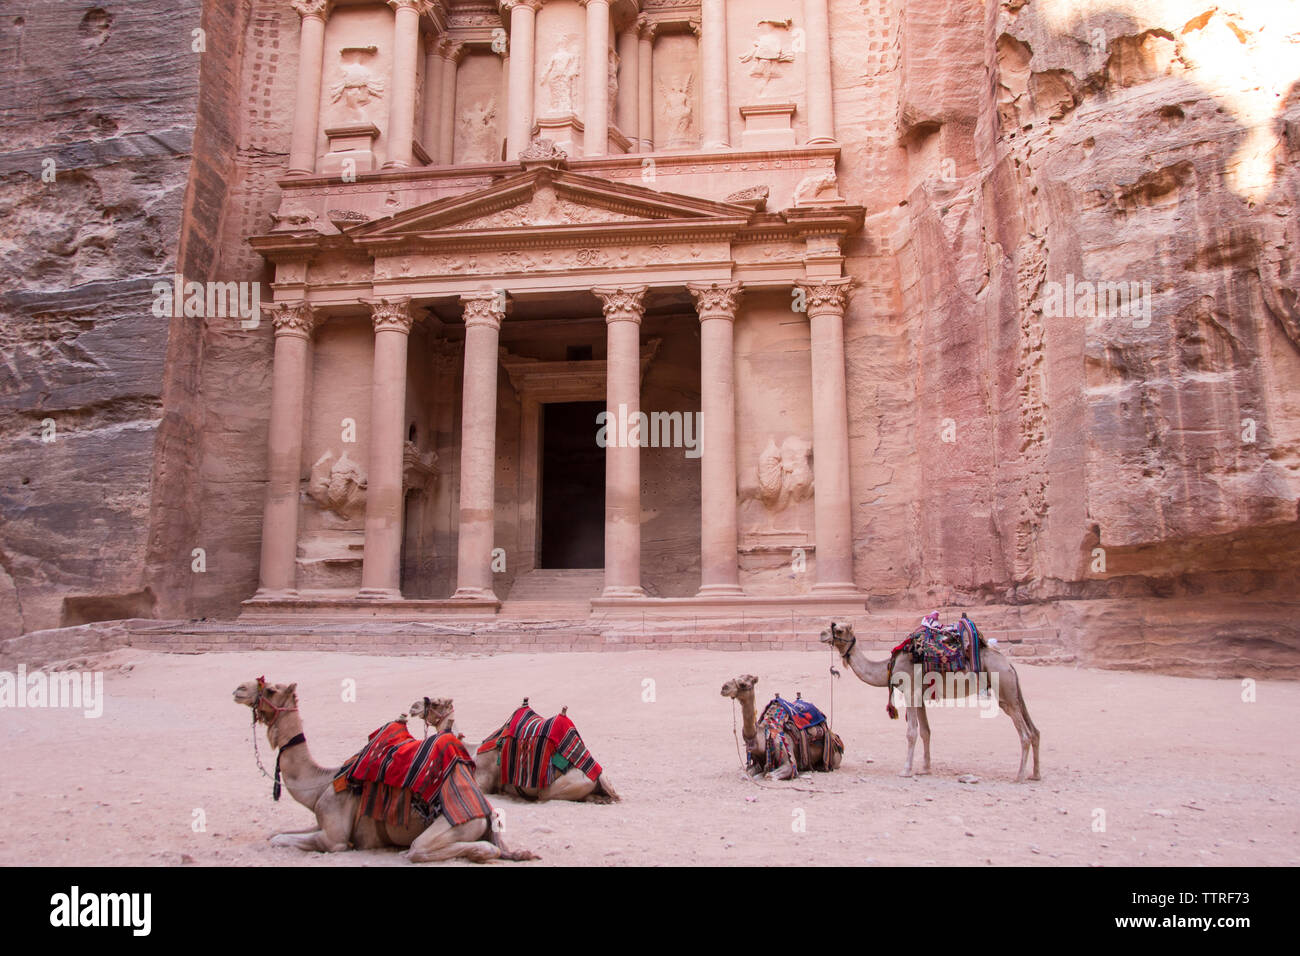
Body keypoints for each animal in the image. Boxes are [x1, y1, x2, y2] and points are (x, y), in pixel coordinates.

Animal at [233, 676, 533, 863]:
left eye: (271, 689)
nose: (239, 689)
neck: (320, 783)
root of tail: (487, 813)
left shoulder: (334, 840)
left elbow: (280, 839)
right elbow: (275, 834)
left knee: (422, 850)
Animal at [416, 697, 618, 806]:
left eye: (436, 703)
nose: (414, 707)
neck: (472, 750)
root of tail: (599, 774)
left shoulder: (483, 781)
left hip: (561, 787)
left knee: (543, 797)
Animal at [821, 621, 1045, 785]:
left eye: (838, 629)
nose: (822, 634)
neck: (890, 666)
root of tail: (1009, 664)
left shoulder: (910, 692)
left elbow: (911, 732)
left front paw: (906, 770)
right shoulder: (920, 696)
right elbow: (925, 731)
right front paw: (925, 769)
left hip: (1003, 689)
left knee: (1025, 734)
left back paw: (1019, 776)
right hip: (1012, 692)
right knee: (1034, 730)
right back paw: (1035, 774)